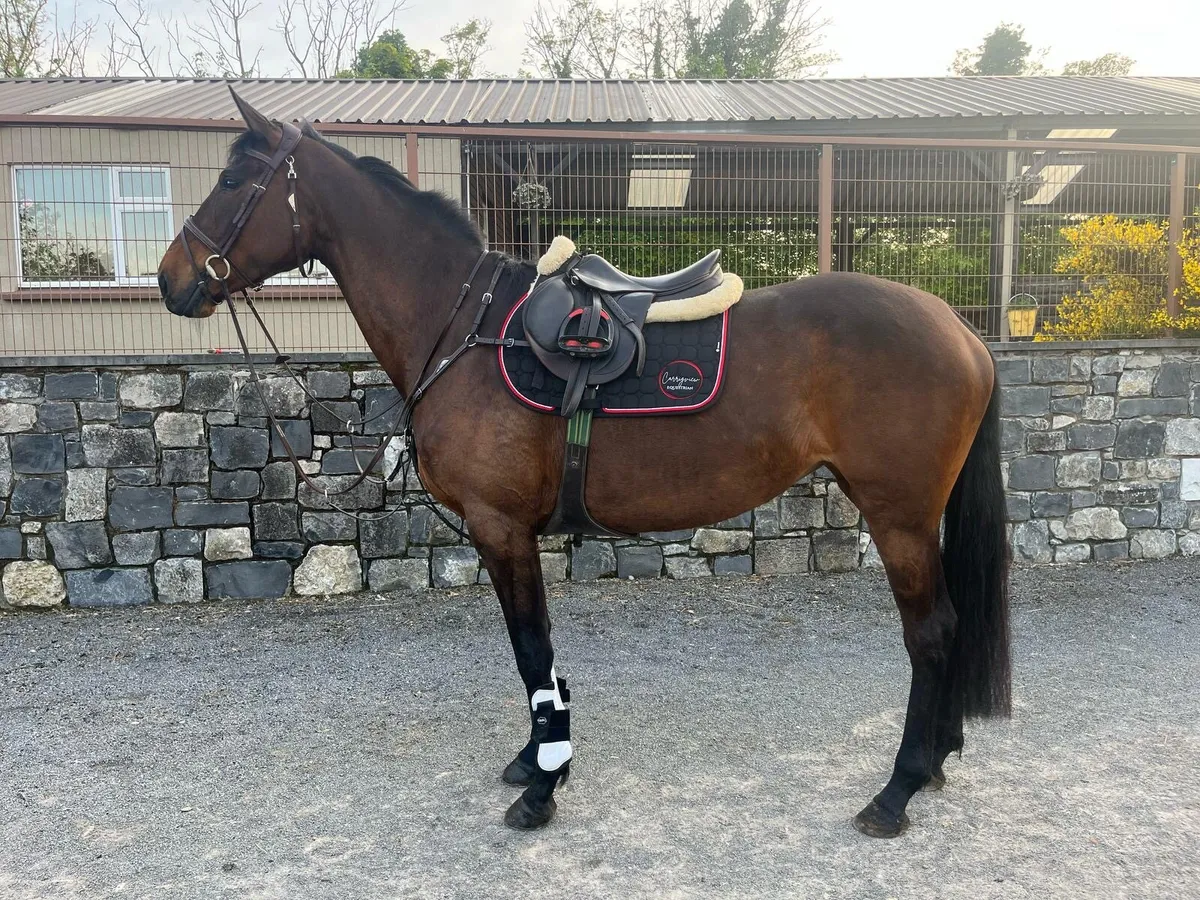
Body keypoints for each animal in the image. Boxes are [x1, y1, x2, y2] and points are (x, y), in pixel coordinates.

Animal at [157, 89, 1011, 839]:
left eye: (232, 181)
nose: (171, 279)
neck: (463, 329)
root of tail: (960, 331)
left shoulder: (502, 529)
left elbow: (532, 649)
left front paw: (543, 786)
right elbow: (534, 655)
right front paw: (536, 756)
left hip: (899, 518)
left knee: (932, 633)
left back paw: (897, 789)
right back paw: (936, 760)